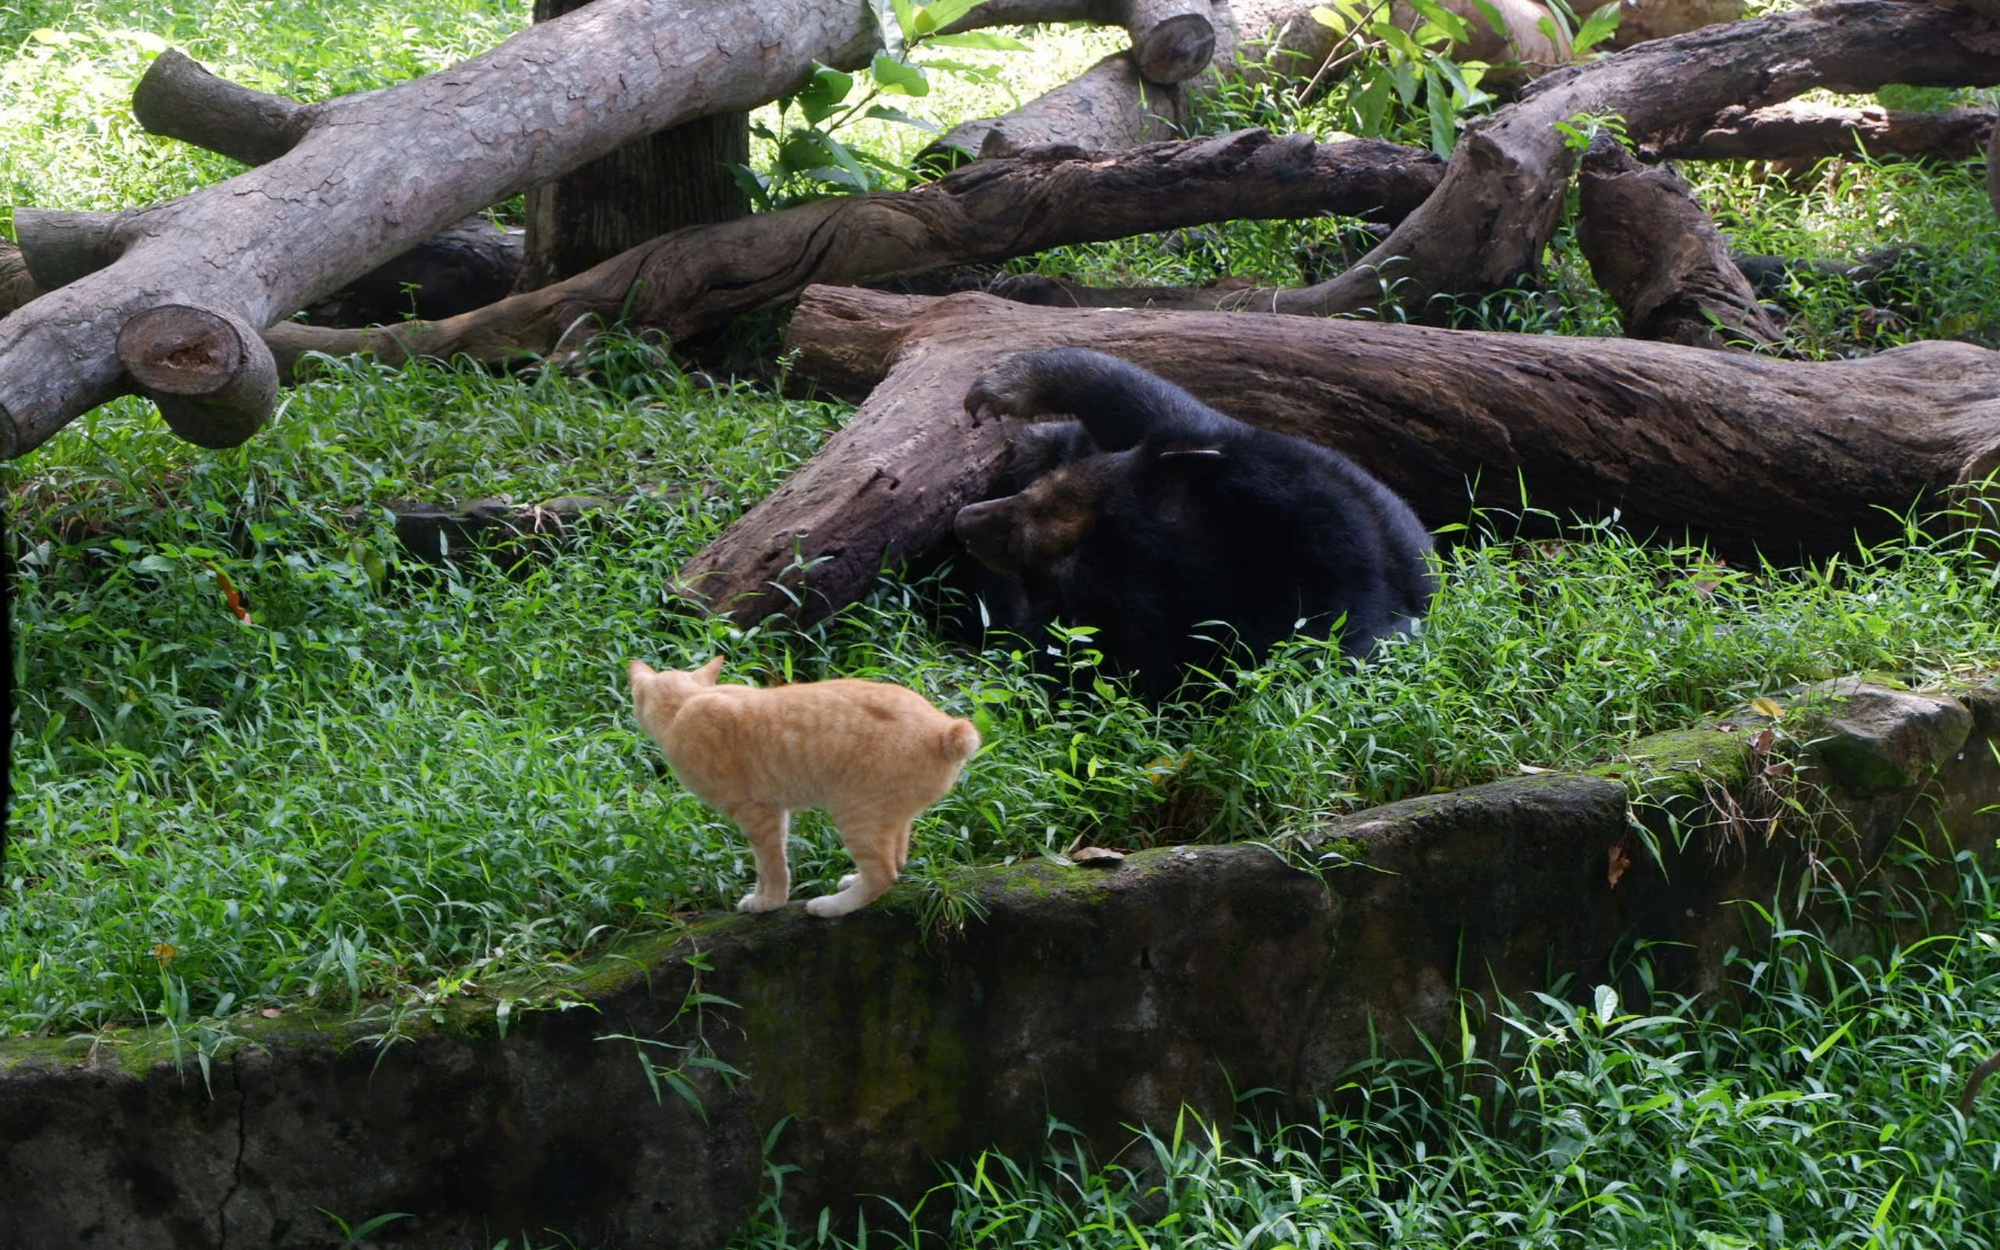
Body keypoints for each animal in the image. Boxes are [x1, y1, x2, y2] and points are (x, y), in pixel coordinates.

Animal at [628, 660, 980, 912]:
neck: (685, 704)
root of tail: (945, 729)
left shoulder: (755, 814)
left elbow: (772, 865)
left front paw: (769, 902)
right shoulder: (775, 812)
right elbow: (767, 863)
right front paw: (762, 896)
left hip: (855, 812)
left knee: (883, 872)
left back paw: (831, 906)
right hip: (890, 816)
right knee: (896, 860)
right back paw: (852, 880)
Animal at [952, 352, 1440, 696]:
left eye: (1027, 553)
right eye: (1043, 490)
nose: (964, 521)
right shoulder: (1284, 470)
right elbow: (1151, 405)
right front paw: (1002, 385)